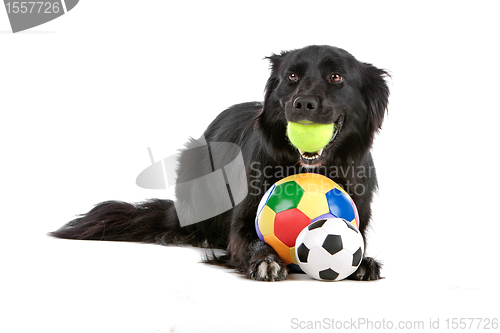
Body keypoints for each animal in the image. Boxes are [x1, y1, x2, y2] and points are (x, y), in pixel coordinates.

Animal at [53, 44, 390, 280]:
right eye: (292, 77)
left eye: (336, 77)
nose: (303, 103)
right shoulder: (241, 225)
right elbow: (249, 242)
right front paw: (266, 260)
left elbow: (359, 245)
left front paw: (363, 263)